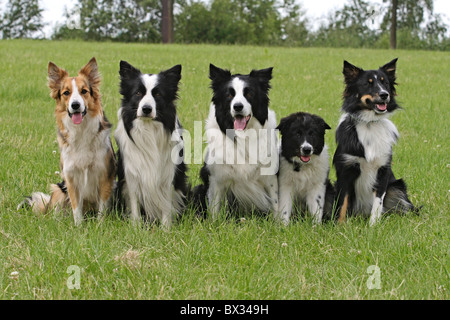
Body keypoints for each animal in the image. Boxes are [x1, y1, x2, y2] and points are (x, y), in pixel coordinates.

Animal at [116, 61, 188, 228]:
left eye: (158, 94)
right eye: (138, 93)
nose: (146, 109)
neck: (148, 129)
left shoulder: (168, 174)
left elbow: (166, 203)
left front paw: (166, 228)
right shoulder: (131, 174)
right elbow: (134, 202)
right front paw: (136, 227)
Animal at [193, 63, 278, 219]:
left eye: (249, 93)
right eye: (229, 95)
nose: (238, 106)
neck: (243, 136)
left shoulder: (270, 178)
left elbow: (277, 205)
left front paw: (280, 223)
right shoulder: (216, 178)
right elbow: (214, 210)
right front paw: (214, 223)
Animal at [334, 58, 418, 226]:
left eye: (385, 83)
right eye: (368, 83)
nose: (384, 95)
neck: (369, 123)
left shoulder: (383, 170)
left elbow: (378, 202)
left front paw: (373, 225)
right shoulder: (345, 170)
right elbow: (343, 203)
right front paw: (340, 225)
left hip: (397, 186)